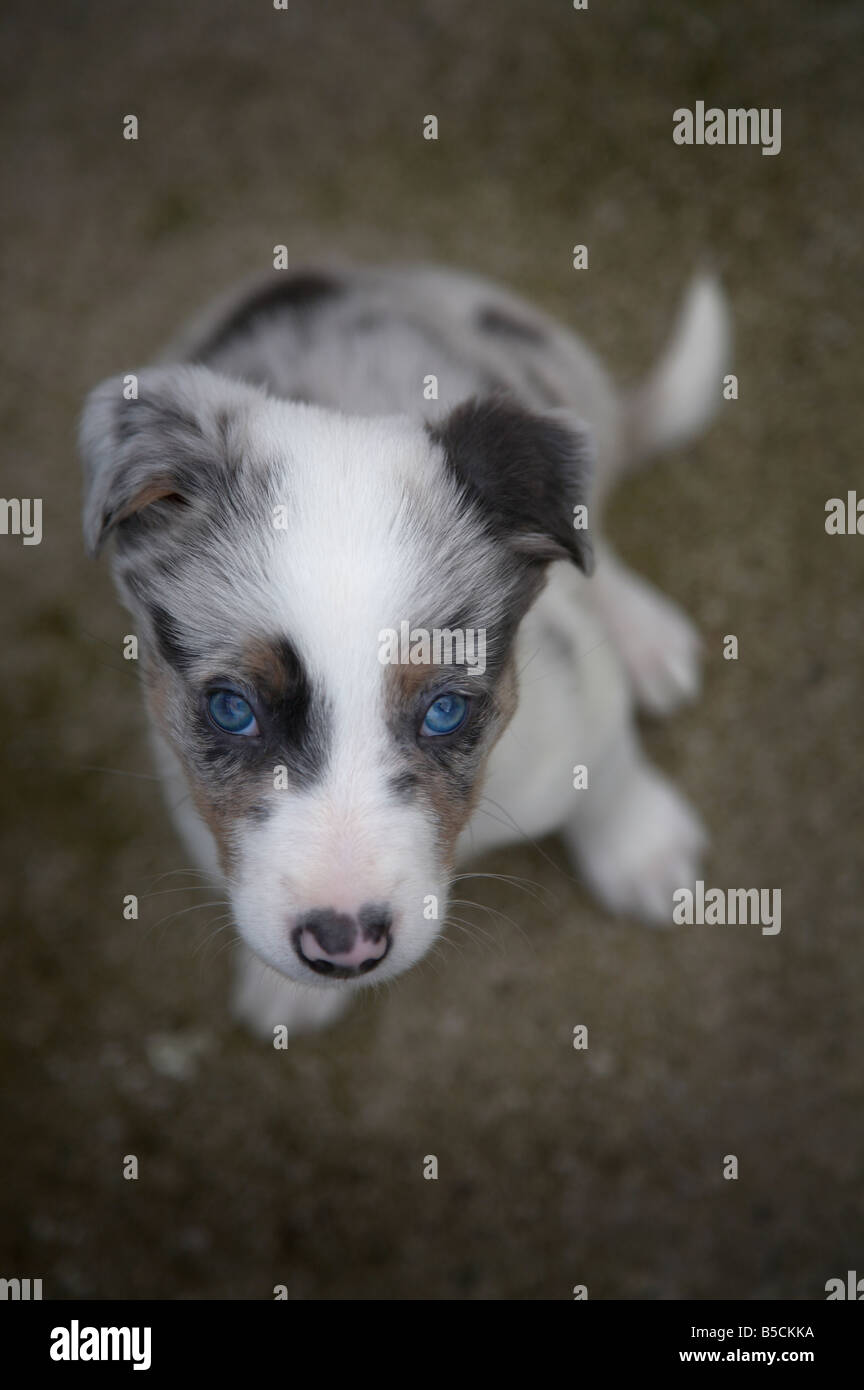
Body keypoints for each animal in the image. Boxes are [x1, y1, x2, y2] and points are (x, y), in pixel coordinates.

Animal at [81, 265, 733, 1039]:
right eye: (231, 709)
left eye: (446, 710)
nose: (343, 945)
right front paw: (290, 990)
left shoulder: (580, 705)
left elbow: (609, 774)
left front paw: (642, 851)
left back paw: (643, 633)